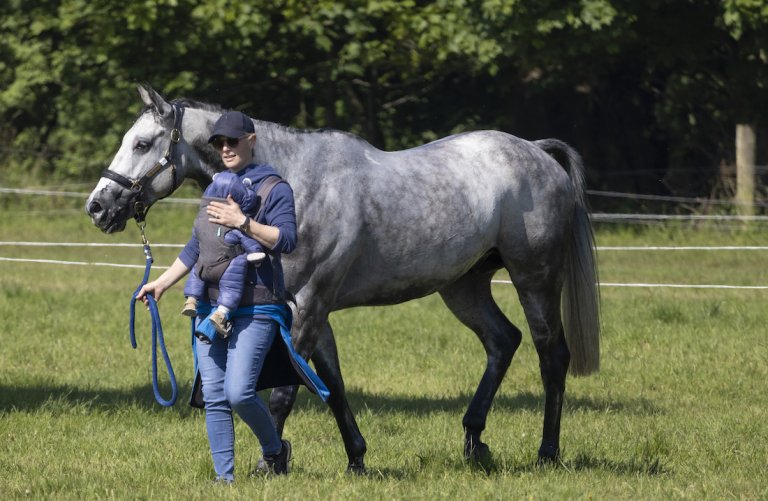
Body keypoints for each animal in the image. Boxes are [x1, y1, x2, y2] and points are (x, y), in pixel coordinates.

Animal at [85, 84, 600, 470]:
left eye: (142, 144)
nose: (98, 207)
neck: (295, 182)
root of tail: (536, 152)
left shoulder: (309, 306)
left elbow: (285, 391)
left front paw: (269, 463)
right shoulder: (309, 311)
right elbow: (332, 385)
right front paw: (356, 459)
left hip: (534, 278)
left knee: (551, 355)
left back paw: (547, 453)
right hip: (463, 286)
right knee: (502, 341)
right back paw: (475, 443)